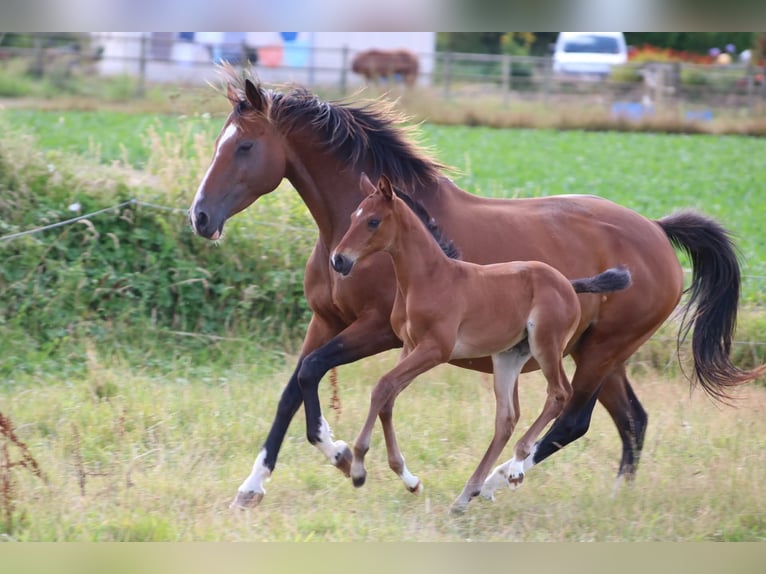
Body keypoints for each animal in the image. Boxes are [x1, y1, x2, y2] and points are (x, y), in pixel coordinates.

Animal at [331, 174, 633, 513]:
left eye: (373, 221)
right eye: (353, 216)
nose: (338, 260)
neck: (429, 279)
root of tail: (567, 284)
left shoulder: (435, 349)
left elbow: (383, 386)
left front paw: (358, 467)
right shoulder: (410, 347)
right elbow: (388, 396)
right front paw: (408, 478)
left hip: (546, 345)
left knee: (559, 394)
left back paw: (515, 466)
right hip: (508, 357)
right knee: (506, 417)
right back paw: (467, 495)